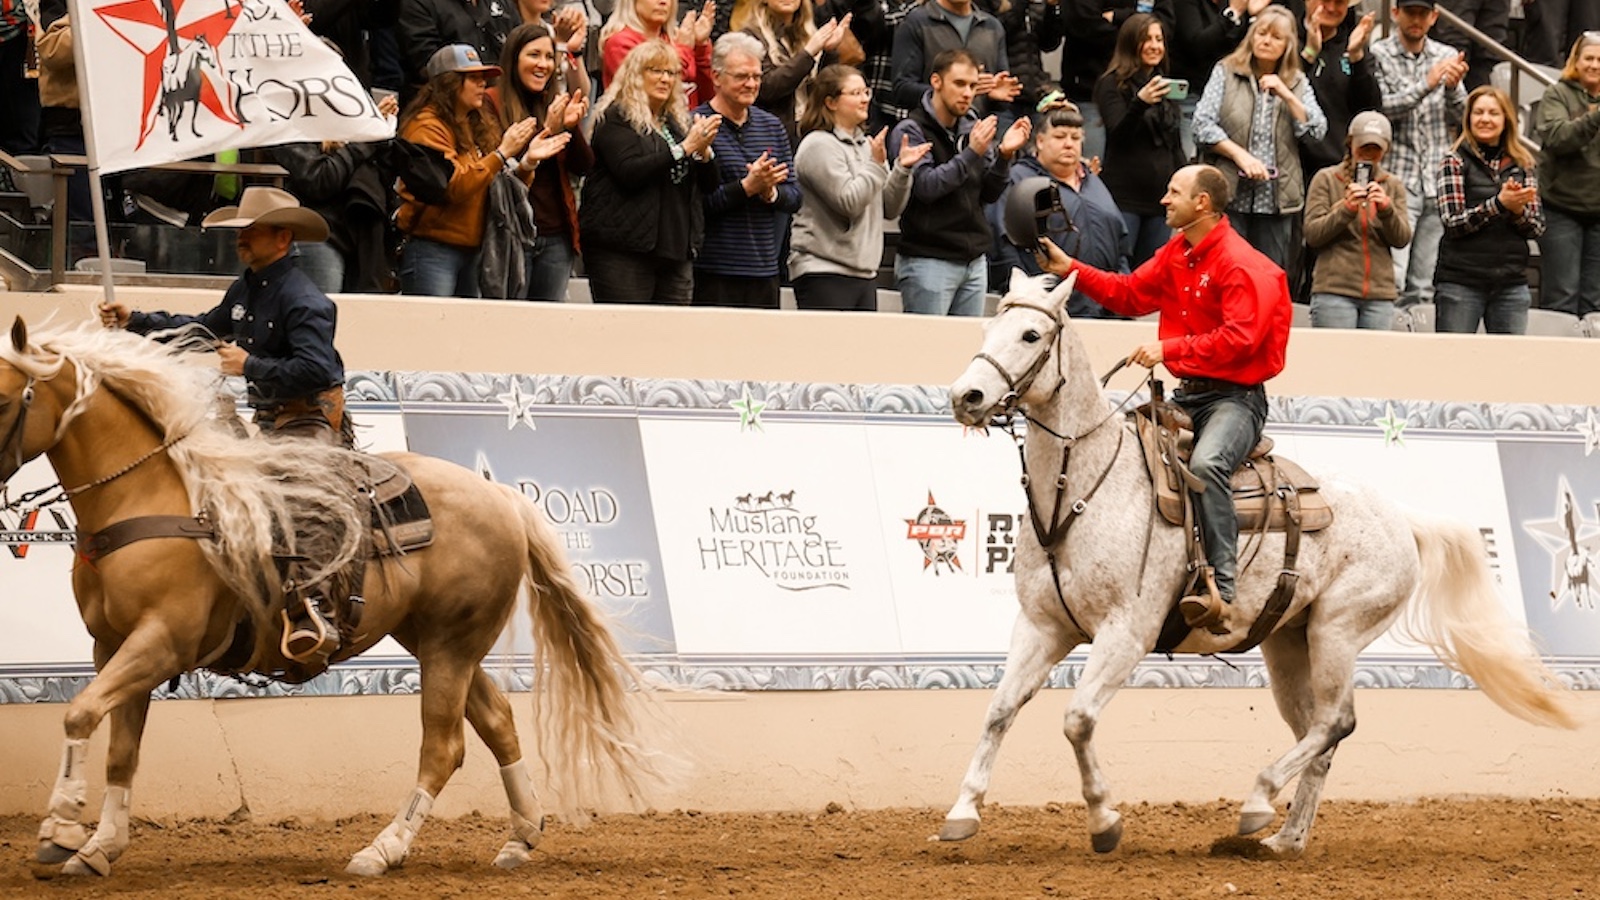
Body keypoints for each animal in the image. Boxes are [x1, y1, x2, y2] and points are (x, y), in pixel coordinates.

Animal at [0, 318, 668, 877]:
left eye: (6, 397)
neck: (155, 498)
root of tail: (502, 497)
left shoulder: (162, 641)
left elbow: (80, 712)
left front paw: (59, 829)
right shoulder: (113, 645)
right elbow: (121, 749)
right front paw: (98, 847)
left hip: (451, 645)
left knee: (443, 746)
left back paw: (383, 849)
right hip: (438, 641)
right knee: (498, 723)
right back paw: (520, 836)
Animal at [941, 271, 1578, 858]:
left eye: (1030, 334)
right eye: (985, 329)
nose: (965, 398)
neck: (1085, 487)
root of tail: (1402, 518)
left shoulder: (1127, 632)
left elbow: (1077, 719)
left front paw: (1104, 820)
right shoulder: (1042, 626)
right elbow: (999, 710)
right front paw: (962, 812)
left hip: (1338, 630)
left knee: (1334, 723)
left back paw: (1257, 803)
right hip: (1288, 644)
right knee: (1320, 734)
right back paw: (1284, 839)